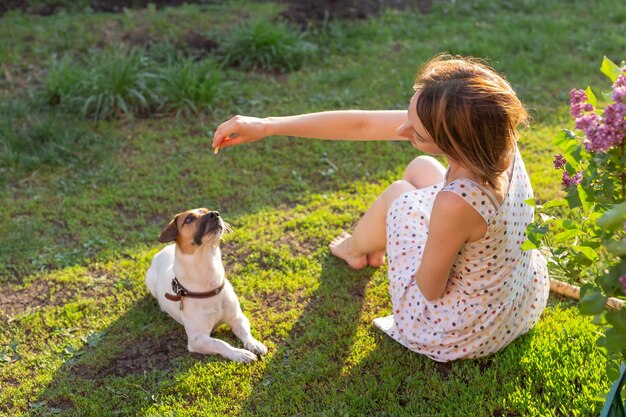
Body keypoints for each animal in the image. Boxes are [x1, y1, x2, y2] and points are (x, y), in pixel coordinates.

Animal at [145, 207, 266, 360]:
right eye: (189, 219)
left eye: (206, 210)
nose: (215, 214)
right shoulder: (197, 339)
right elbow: (220, 343)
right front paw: (239, 353)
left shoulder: (238, 318)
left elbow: (245, 332)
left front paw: (254, 343)